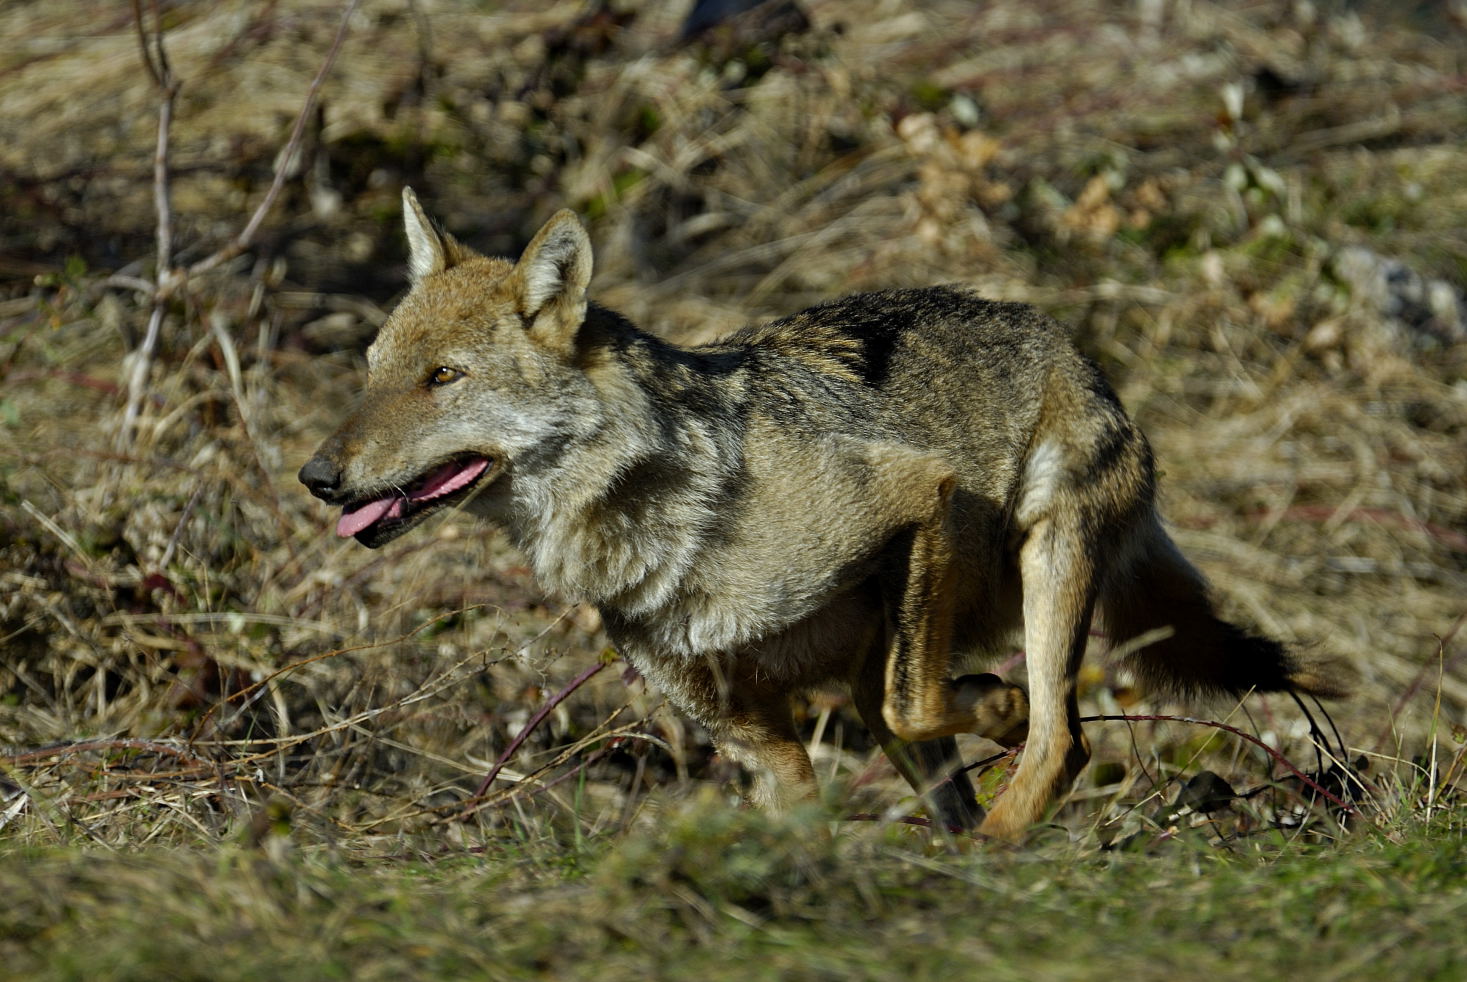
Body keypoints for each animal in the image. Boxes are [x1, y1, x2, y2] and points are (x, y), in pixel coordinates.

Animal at [300, 193, 1349, 845]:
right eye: (371, 369)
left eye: (443, 379)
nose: (315, 475)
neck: (667, 512)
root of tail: (1060, 335)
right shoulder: (756, 738)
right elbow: (806, 818)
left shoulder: (916, 499)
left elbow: (936, 705)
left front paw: (997, 708)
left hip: (1041, 568)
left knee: (1059, 740)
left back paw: (996, 834)